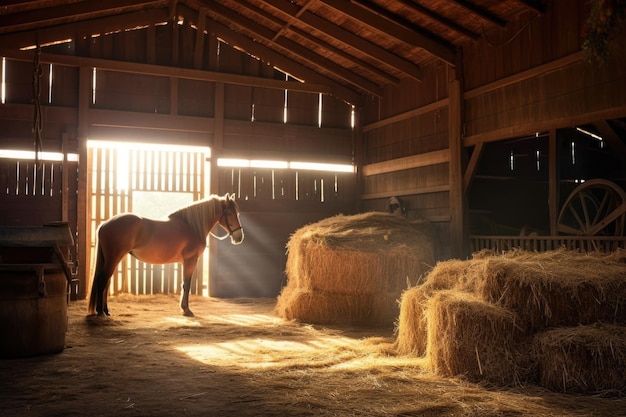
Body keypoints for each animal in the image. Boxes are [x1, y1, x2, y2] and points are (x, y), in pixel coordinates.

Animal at [86, 193, 243, 316]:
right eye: (230, 213)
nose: (239, 238)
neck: (191, 226)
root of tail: (105, 224)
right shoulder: (190, 260)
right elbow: (186, 284)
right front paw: (186, 310)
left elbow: (184, 284)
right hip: (113, 258)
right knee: (102, 281)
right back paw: (100, 311)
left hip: (113, 259)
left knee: (106, 282)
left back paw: (106, 310)